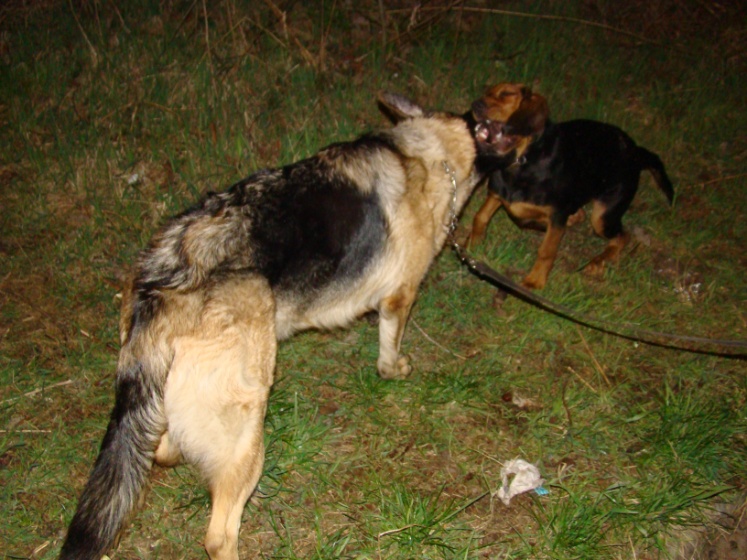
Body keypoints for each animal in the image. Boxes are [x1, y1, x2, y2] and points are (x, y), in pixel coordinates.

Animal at [60, 93, 496, 560]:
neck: (423, 150)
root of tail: (163, 282)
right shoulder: (400, 296)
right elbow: (389, 348)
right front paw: (396, 368)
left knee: (160, 449)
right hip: (247, 425)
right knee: (218, 534)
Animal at [470, 84, 676, 294]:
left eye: (506, 94)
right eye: (487, 93)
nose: (475, 105)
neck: (522, 161)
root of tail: (635, 151)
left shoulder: (558, 214)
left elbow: (547, 251)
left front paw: (535, 281)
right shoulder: (496, 194)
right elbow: (480, 217)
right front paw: (472, 245)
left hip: (602, 216)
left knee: (622, 236)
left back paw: (597, 262)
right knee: (581, 216)